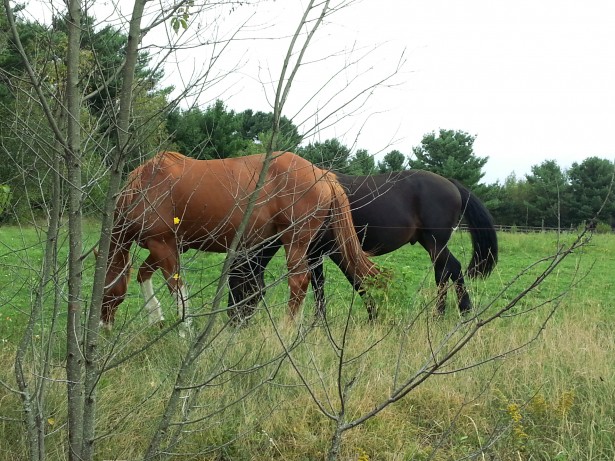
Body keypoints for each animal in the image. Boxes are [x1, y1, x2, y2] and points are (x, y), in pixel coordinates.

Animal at [101, 150, 380, 328]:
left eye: (104, 291)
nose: (104, 326)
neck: (146, 186)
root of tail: (323, 174)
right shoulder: (163, 247)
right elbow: (143, 275)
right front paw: (155, 319)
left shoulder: (162, 244)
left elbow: (175, 286)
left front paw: (184, 330)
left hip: (295, 242)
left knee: (299, 282)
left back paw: (287, 327)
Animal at [229, 171, 498, 318]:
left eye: (238, 286)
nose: (233, 321)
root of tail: (452, 184)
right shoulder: (317, 253)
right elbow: (320, 285)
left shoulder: (331, 250)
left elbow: (354, 280)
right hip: (430, 243)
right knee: (443, 272)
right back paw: (441, 314)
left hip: (435, 242)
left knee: (452, 268)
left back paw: (461, 311)